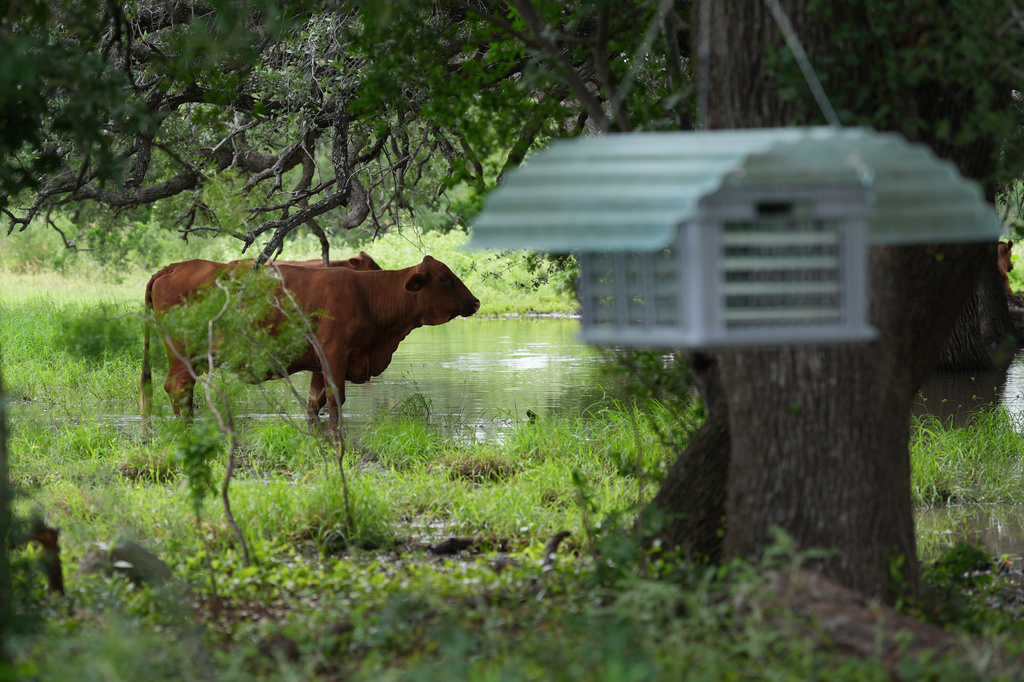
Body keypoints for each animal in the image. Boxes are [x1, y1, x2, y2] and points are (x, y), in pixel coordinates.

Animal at [140, 255, 480, 437]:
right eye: (444, 278)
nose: (475, 302)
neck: (368, 295)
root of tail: (174, 267)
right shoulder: (335, 355)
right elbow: (335, 400)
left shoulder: (320, 362)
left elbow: (315, 403)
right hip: (183, 354)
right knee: (178, 387)